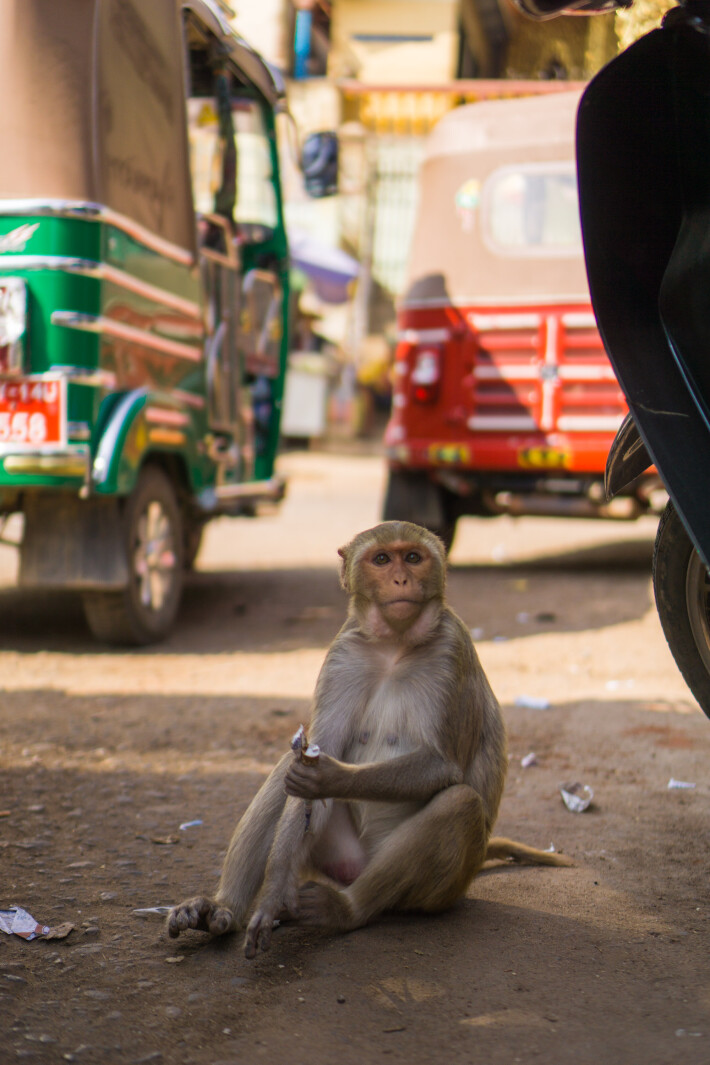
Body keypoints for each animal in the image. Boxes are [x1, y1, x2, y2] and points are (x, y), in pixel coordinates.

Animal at [167, 520, 571, 958]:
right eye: (381, 559)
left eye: (412, 557)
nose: (401, 579)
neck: (394, 645)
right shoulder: (344, 655)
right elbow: (311, 759)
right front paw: (271, 897)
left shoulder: (453, 652)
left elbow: (440, 765)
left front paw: (328, 777)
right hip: (337, 855)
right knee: (282, 777)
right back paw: (223, 910)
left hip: (440, 890)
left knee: (459, 804)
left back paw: (347, 910)